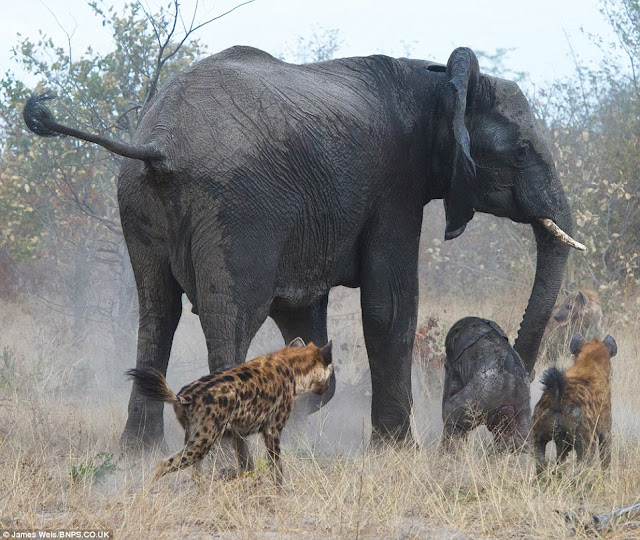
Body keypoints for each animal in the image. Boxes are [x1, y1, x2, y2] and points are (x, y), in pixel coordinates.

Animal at [528, 332, 616, 474]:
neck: (589, 363)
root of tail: (558, 401)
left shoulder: (562, 443)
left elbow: (560, 459)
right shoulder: (605, 430)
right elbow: (606, 462)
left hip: (537, 440)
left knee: (541, 464)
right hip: (587, 444)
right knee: (583, 467)